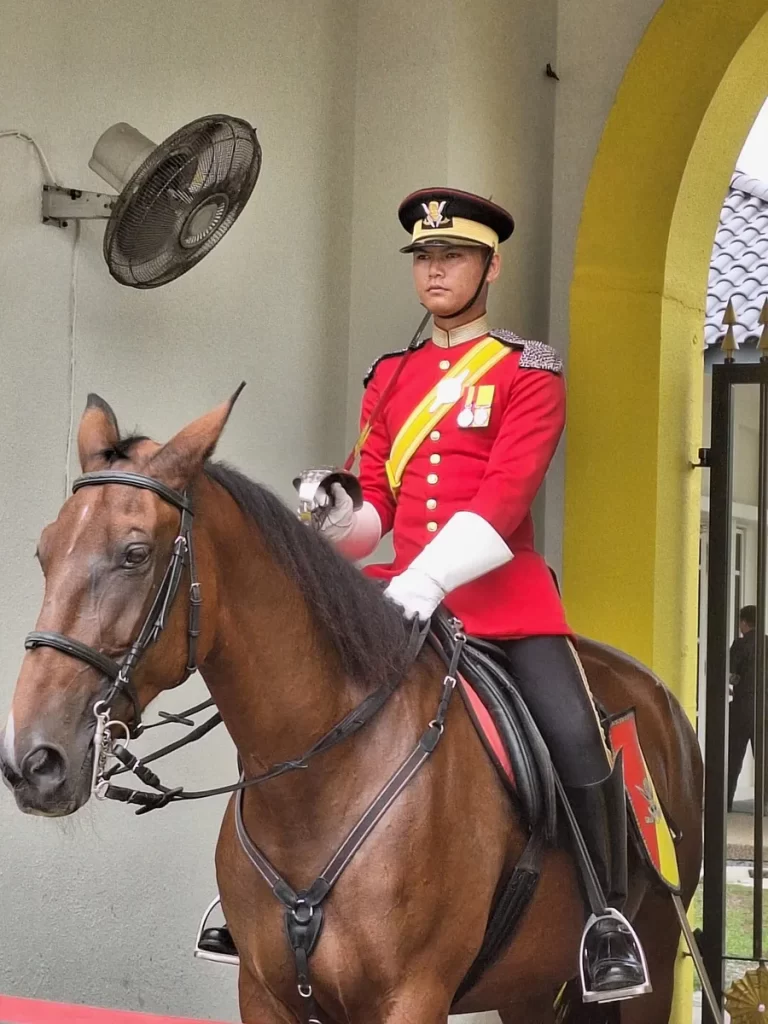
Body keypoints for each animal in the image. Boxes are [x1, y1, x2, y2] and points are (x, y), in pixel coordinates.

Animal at [0, 391, 708, 1024]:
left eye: (136, 553)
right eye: (44, 550)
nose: (33, 760)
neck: (320, 775)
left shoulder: (411, 998)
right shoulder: (265, 996)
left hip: (654, 953)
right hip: (526, 987)